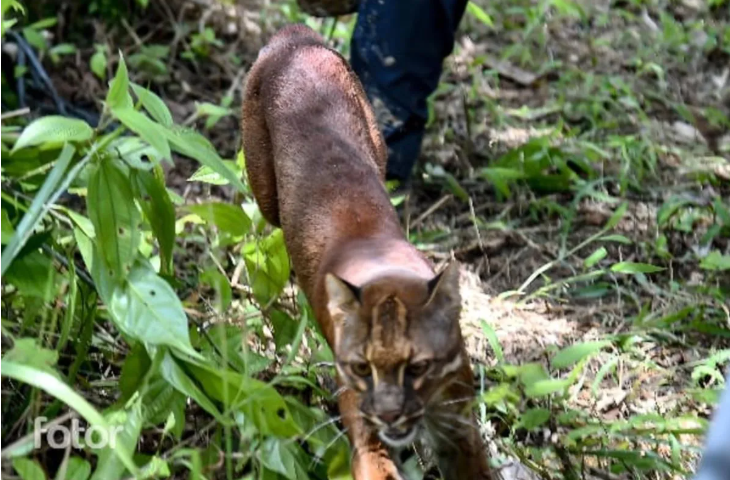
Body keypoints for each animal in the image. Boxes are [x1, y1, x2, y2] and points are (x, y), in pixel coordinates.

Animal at [243, 24, 490, 478]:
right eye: (364, 368)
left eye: (417, 366)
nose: (390, 413)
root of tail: (295, 36)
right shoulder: (366, 433)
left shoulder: (458, 426)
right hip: (265, 189)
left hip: (376, 142)